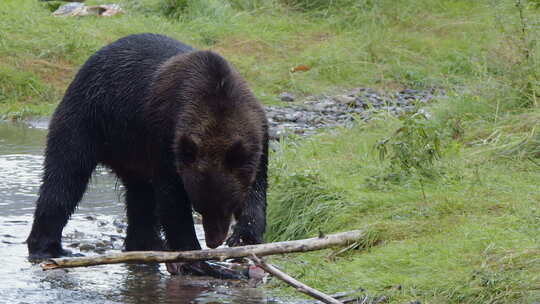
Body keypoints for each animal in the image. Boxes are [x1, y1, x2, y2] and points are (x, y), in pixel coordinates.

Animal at [26, 33, 268, 276]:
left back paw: (146, 244)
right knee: (65, 179)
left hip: (131, 150)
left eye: (229, 206)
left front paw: (244, 237)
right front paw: (199, 260)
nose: (213, 241)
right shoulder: (165, 138)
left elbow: (257, 189)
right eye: (199, 207)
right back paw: (48, 248)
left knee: (140, 196)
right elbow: (172, 200)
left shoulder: (259, 133)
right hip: (88, 121)